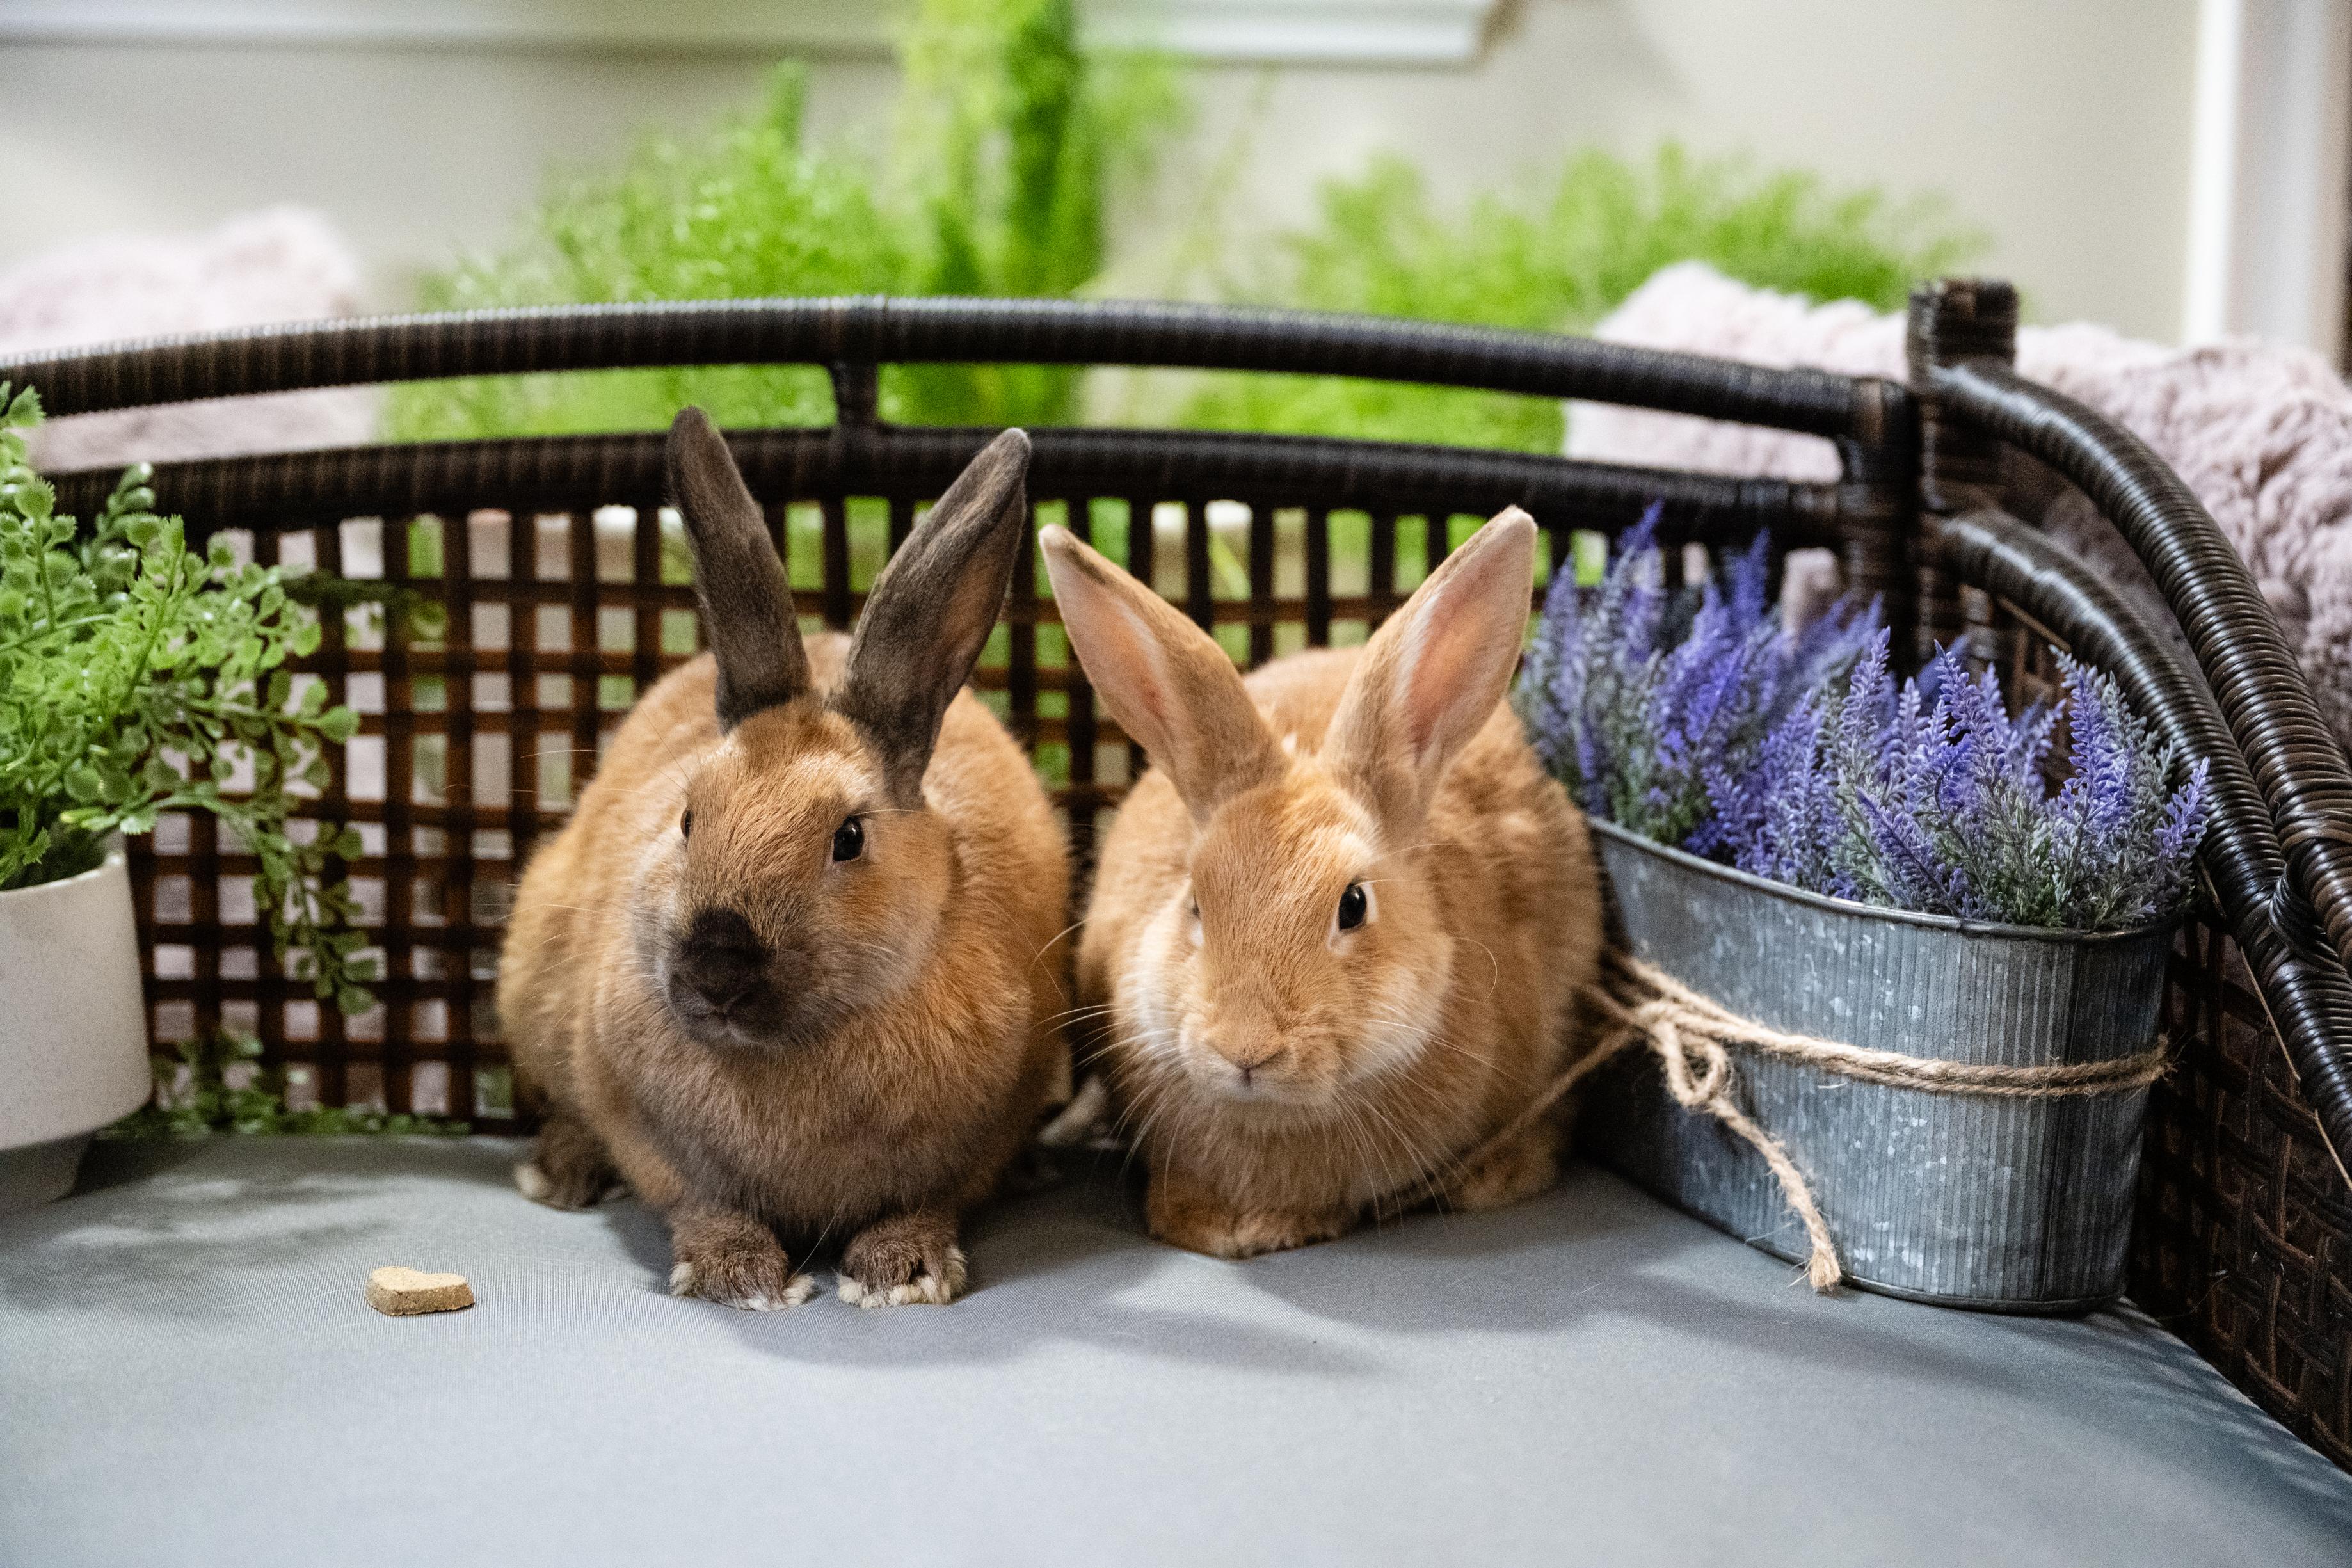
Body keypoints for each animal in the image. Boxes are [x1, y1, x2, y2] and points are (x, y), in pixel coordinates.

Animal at [498, 411, 1070, 1309]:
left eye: (850, 837)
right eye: (688, 817)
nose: (717, 964)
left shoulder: (978, 1137)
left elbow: (930, 1198)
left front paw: (901, 1269)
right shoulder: (641, 1125)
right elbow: (696, 1200)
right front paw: (740, 1275)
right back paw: (560, 1171)